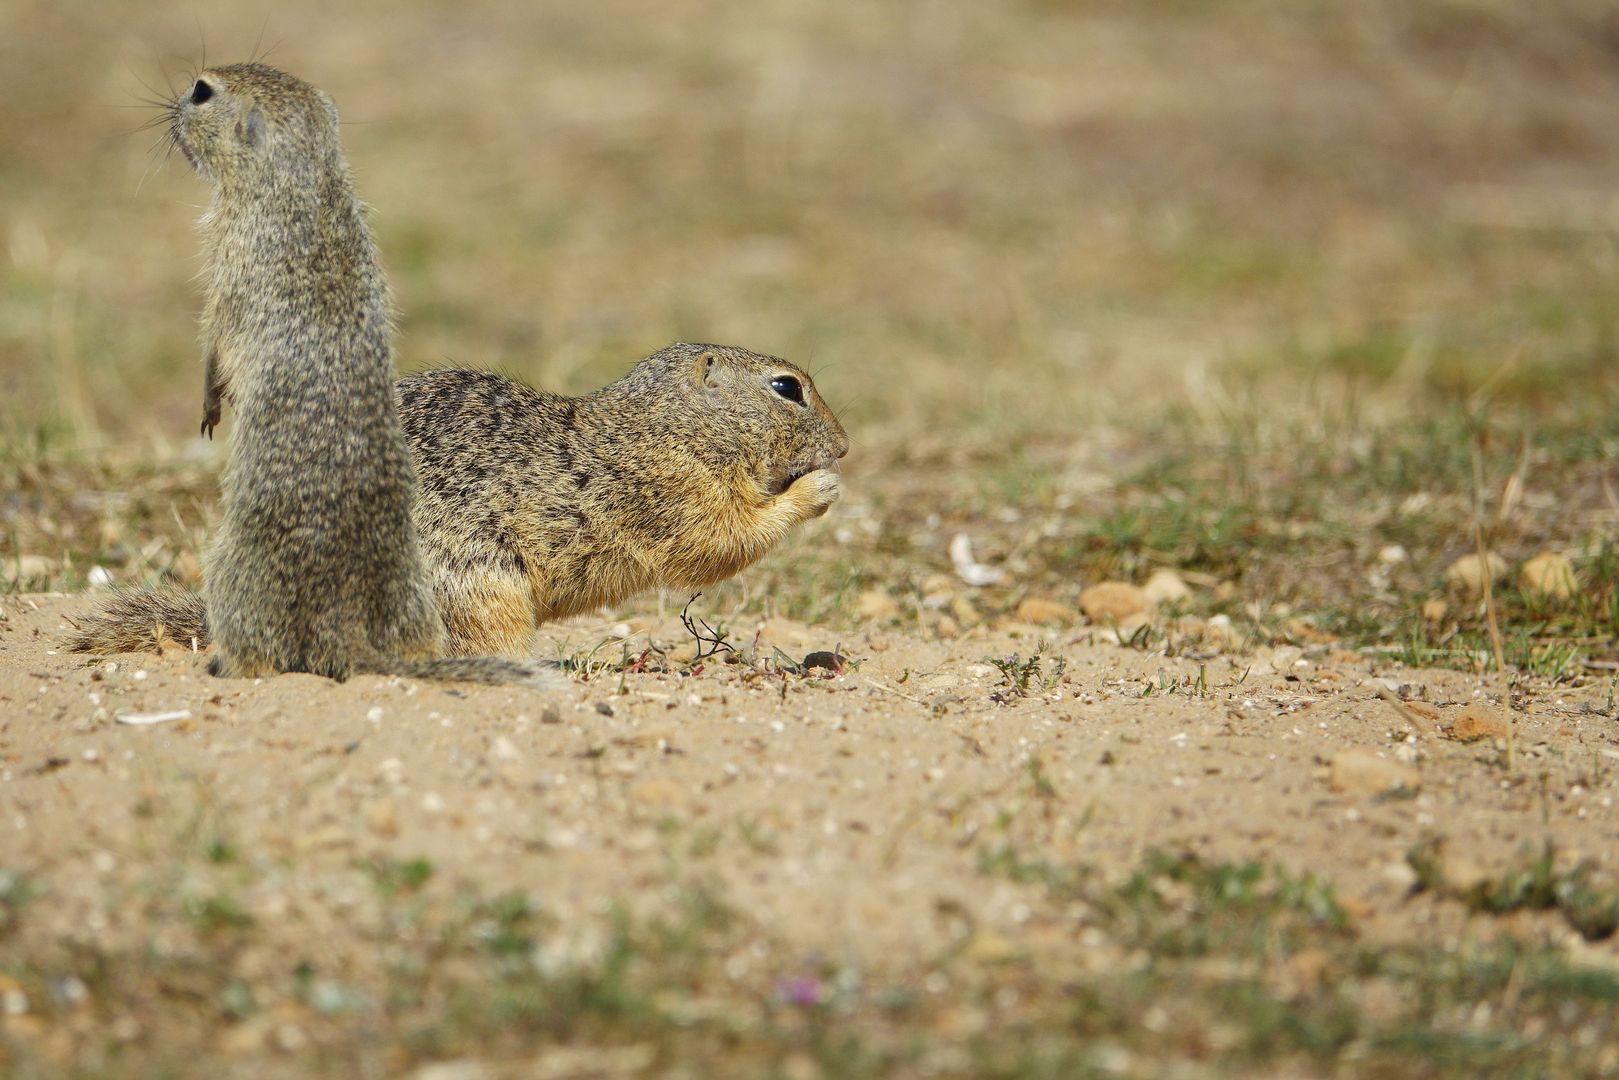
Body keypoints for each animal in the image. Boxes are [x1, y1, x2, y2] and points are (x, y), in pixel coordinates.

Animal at [69, 344, 854, 660]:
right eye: (786, 387)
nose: (846, 446)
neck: (664, 425)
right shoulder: (672, 493)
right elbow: (721, 542)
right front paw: (818, 491)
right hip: (481, 591)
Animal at [129, 61, 547, 683]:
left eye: (203, 92)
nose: (172, 106)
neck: (310, 185)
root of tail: (347, 629)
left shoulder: (228, 260)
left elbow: (214, 338)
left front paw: (210, 404)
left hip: (228, 576)